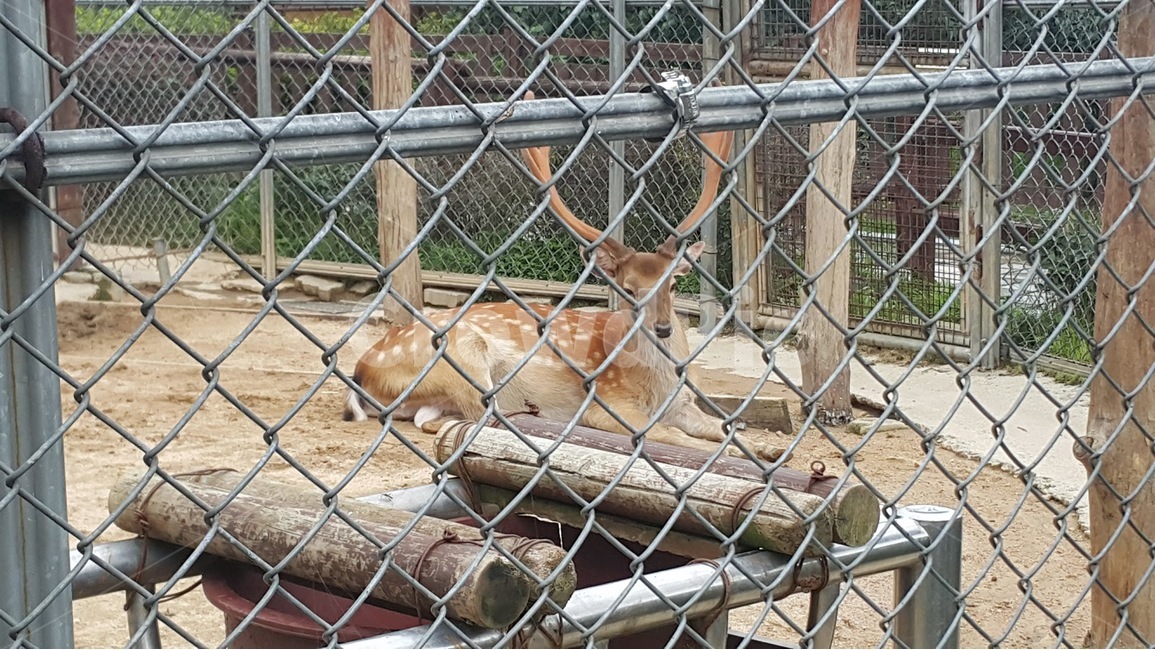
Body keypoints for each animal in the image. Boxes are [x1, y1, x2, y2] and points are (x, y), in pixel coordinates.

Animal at [343, 125, 785, 462]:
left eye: (674, 284)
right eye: (627, 289)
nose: (662, 328)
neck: (656, 382)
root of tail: (362, 369)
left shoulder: (682, 404)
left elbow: (723, 426)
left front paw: (769, 450)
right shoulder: (606, 400)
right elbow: (672, 435)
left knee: (432, 419)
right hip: (460, 355)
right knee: (473, 415)